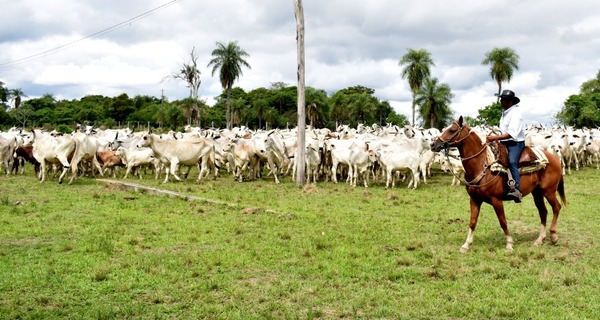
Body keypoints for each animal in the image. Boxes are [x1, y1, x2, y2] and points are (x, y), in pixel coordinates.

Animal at [428, 116, 564, 254]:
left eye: (452, 130)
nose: (433, 145)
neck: (483, 165)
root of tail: (554, 159)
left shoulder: (496, 200)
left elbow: (502, 221)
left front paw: (509, 244)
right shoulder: (474, 199)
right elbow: (472, 222)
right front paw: (466, 245)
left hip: (548, 191)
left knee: (556, 207)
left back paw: (553, 236)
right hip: (537, 192)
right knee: (543, 212)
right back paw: (540, 239)